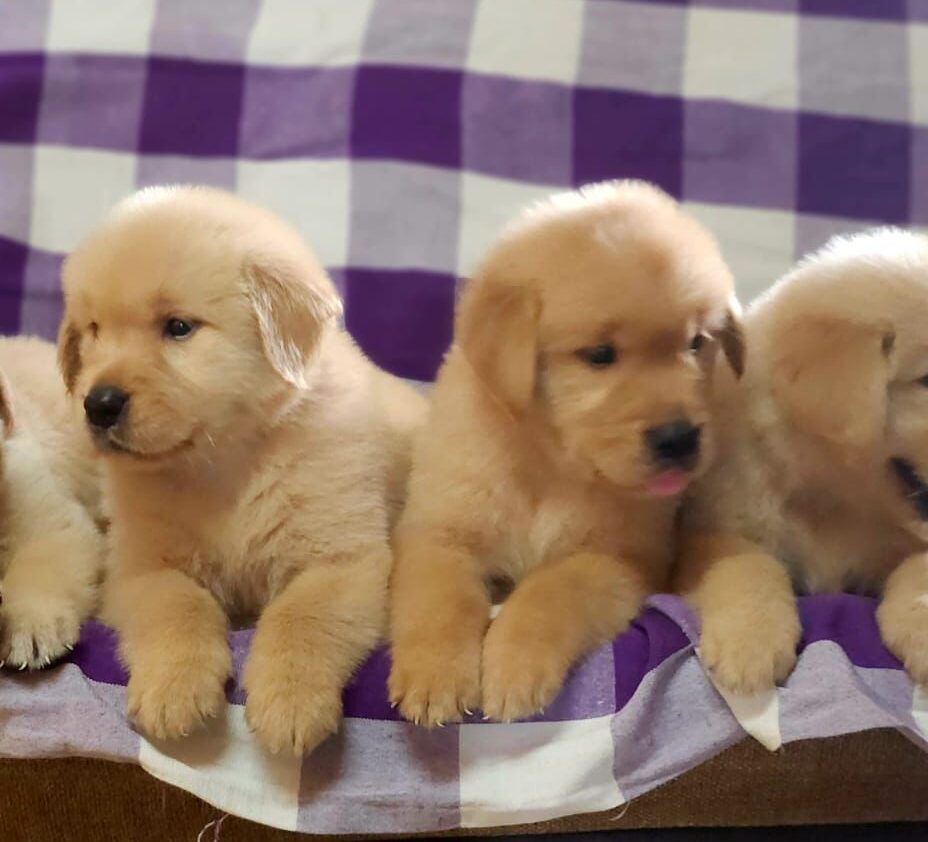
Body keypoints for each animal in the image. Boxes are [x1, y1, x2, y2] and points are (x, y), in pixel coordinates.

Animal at [59, 187, 430, 752]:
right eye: (93, 332)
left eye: (178, 327)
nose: (98, 404)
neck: (223, 464)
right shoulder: (139, 568)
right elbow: (178, 606)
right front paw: (174, 688)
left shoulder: (343, 559)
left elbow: (300, 617)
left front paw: (289, 702)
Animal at [388, 179, 744, 720]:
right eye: (599, 355)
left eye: (697, 342)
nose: (679, 438)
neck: (548, 466)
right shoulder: (439, 530)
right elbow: (439, 598)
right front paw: (434, 673)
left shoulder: (618, 559)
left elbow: (550, 591)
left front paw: (514, 665)